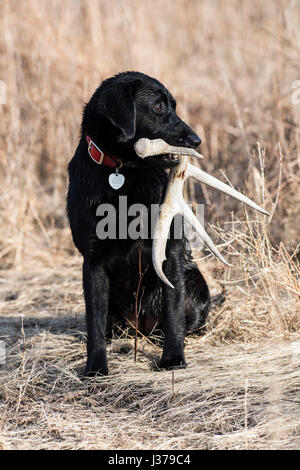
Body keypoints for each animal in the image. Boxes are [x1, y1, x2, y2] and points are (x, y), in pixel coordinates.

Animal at [67, 71, 210, 376]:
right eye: (157, 107)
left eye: (174, 107)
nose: (196, 140)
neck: (122, 171)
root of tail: (139, 328)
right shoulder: (92, 261)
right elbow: (95, 323)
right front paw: (95, 368)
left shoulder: (169, 249)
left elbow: (173, 310)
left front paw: (173, 358)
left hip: (197, 286)